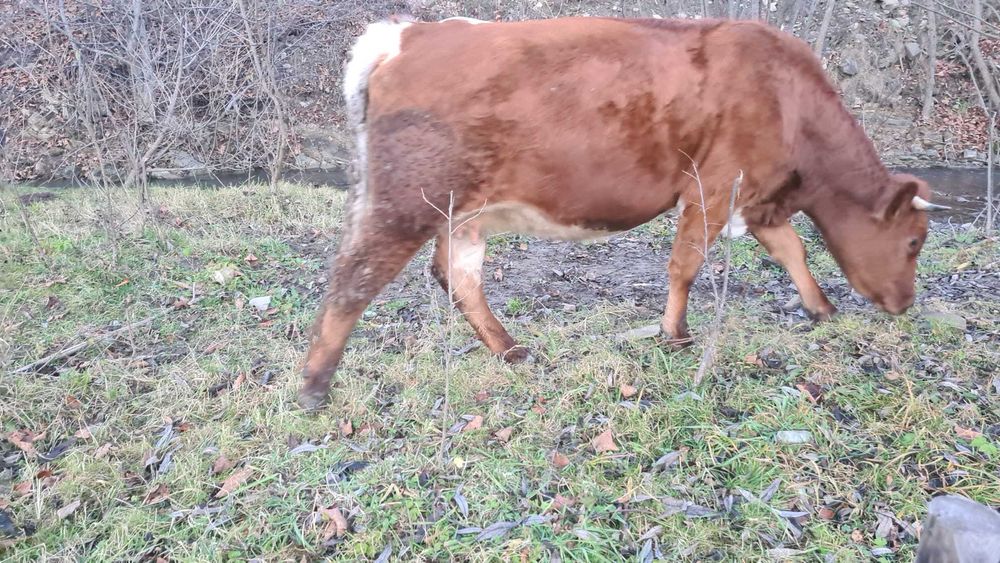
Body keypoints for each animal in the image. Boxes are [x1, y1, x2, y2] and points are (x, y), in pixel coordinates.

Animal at [297, 16, 947, 409]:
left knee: (458, 278)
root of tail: (410, 33)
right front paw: (675, 334)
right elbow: (686, 263)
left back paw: (511, 350)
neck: (790, 102)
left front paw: (821, 309)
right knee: (353, 278)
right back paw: (315, 386)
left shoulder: (759, 198)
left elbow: (792, 249)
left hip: (461, 213)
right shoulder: (713, 187)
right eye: (914, 240)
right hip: (404, 200)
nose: (905, 303)